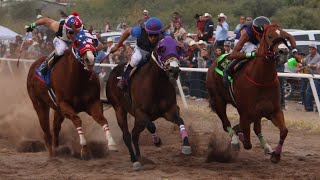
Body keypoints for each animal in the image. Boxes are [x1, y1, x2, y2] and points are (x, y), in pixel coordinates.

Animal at [26, 30, 116, 160]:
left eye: (93, 40)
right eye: (77, 42)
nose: (89, 59)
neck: (77, 79)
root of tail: (33, 66)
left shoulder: (93, 102)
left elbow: (102, 119)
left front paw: (111, 143)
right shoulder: (65, 105)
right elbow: (77, 120)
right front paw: (84, 149)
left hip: (57, 110)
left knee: (56, 127)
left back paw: (57, 148)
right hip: (39, 103)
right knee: (46, 129)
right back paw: (52, 154)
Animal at [106, 36, 191, 170]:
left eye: (178, 48)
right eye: (162, 49)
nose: (174, 70)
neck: (156, 84)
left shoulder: (170, 110)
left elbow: (180, 120)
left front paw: (186, 145)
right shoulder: (140, 112)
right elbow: (152, 126)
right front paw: (157, 141)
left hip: (138, 120)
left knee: (134, 134)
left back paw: (140, 157)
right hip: (119, 109)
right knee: (127, 135)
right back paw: (135, 160)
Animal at [206, 23, 292, 163]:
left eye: (284, 35)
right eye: (269, 36)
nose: (283, 51)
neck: (261, 79)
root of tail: (214, 62)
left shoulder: (274, 110)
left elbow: (284, 131)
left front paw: (275, 155)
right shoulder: (246, 113)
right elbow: (246, 141)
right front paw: (237, 137)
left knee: (256, 128)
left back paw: (266, 147)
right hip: (218, 101)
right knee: (226, 124)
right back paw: (235, 141)